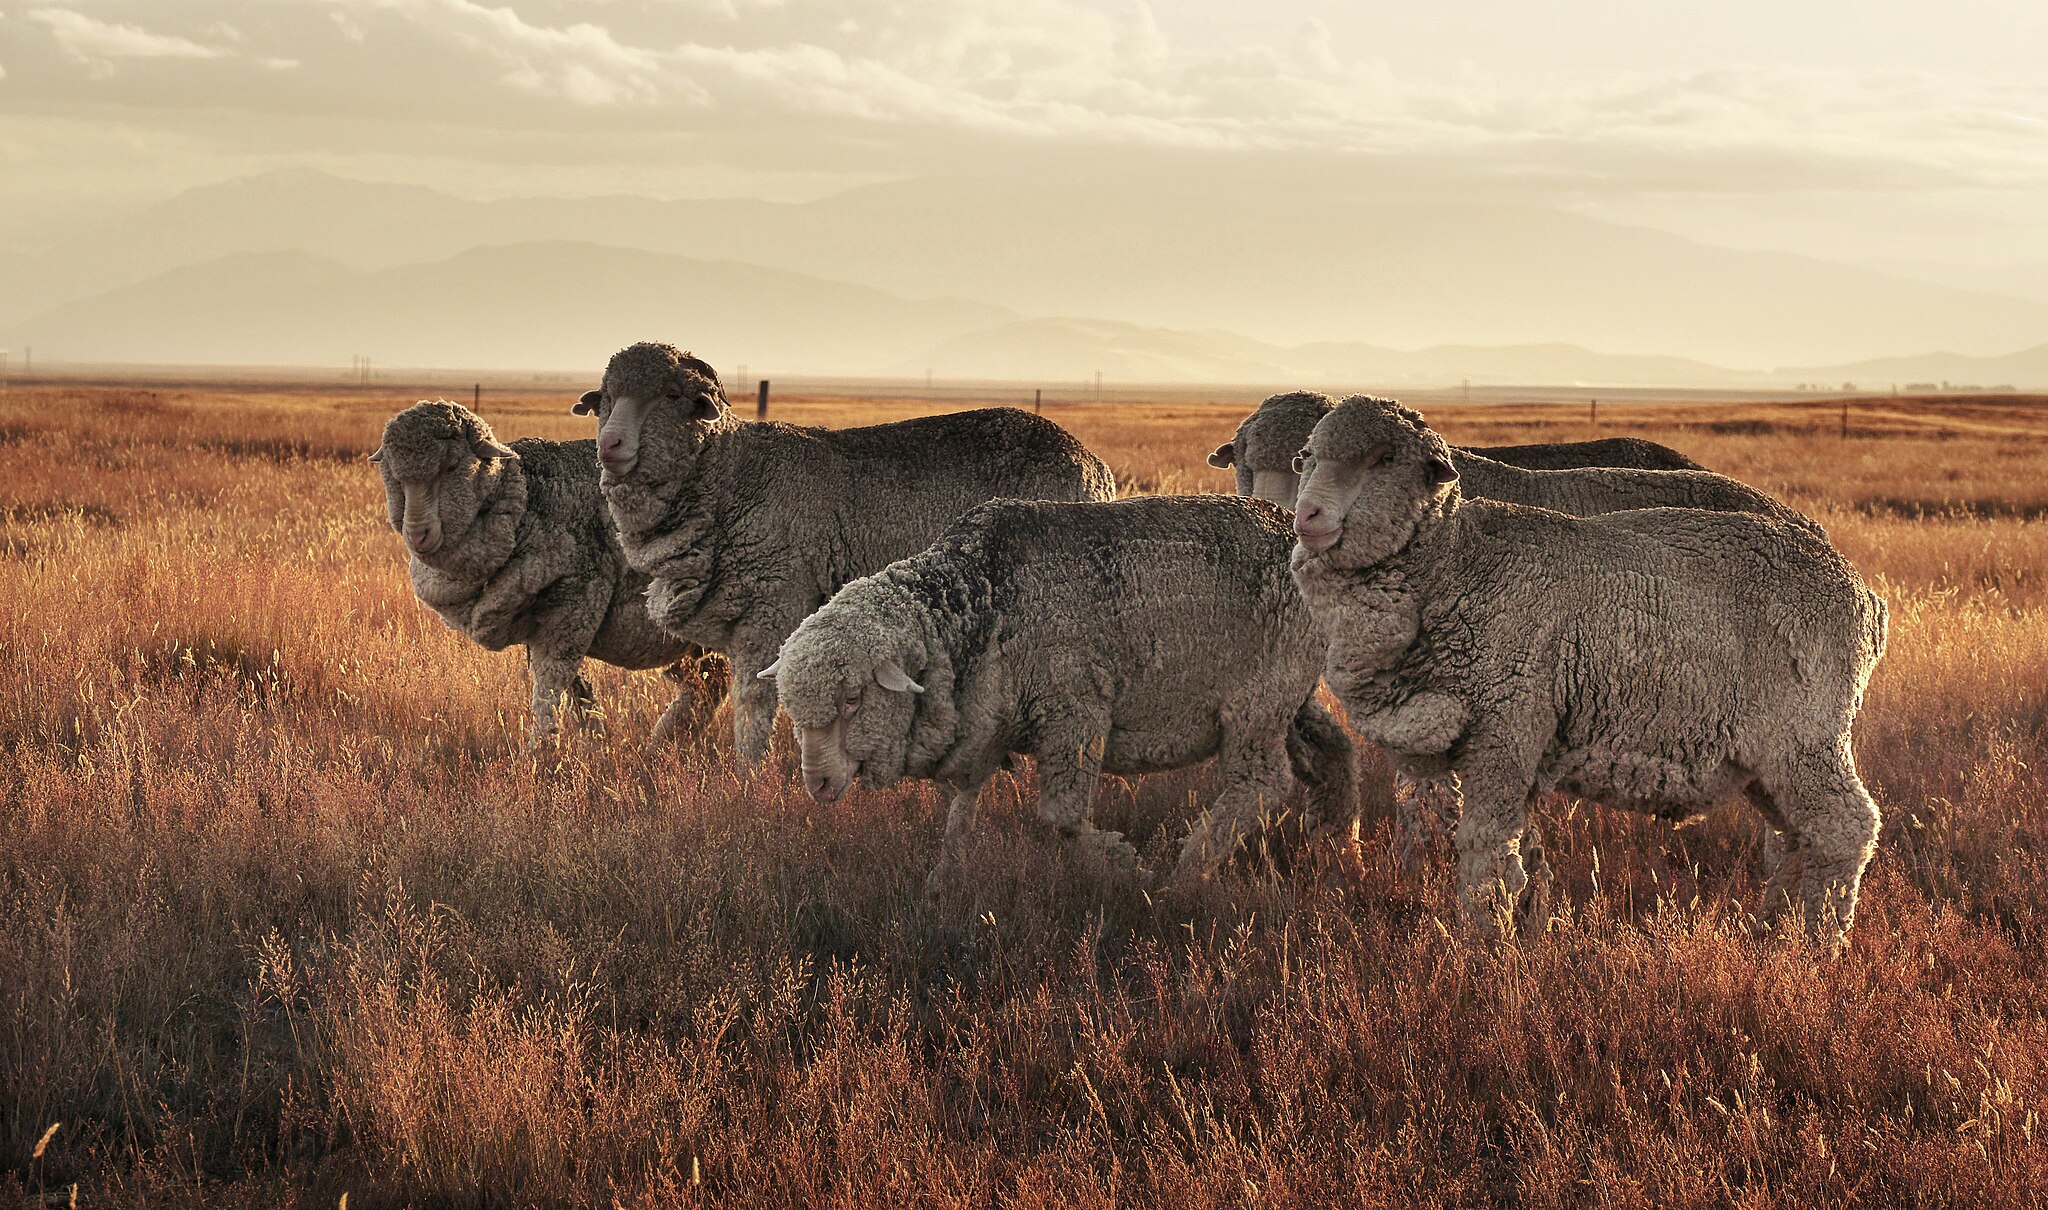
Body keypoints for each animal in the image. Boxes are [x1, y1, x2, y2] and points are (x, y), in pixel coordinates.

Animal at [376, 403, 729, 753]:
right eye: (393, 473)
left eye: (451, 466)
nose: (417, 534)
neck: (524, 500)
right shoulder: (546, 621)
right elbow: (576, 690)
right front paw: (595, 736)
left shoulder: (576, 602)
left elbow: (549, 684)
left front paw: (541, 752)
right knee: (711, 682)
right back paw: (666, 741)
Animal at [577, 339, 1122, 765]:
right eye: (606, 399)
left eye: (671, 395)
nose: (611, 444)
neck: (734, 473)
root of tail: (1096, 467)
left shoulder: (773, 610)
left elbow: (753, 707)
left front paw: (748, 780)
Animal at [761, 497, 1351, 896]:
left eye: (853, 699)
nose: (816, 785)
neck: (981, 599)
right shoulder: (986, 724)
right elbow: (960, 813)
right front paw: (940, 883)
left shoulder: (1074, 712)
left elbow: (1060, 816)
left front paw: (1125, 863)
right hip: (1290, 694)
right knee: (1334, 748)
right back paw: (1337, 837)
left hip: (1260, 695)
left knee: (1261, 781)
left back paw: (1190, 866)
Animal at [1294, 397, 1884, 945]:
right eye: (1311, 457)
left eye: (1384, 457)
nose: (1307, 516)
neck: (1457, 566)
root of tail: (1860, 591)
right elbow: (1524, 853)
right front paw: (1527, 932)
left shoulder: (1507, 728)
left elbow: (1485, 847)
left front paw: (1483, 947)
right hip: (1765, 757)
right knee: (1794, 834)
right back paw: (1774, 931)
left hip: (1804, 735)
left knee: (1843, 828)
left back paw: (1819, 943)